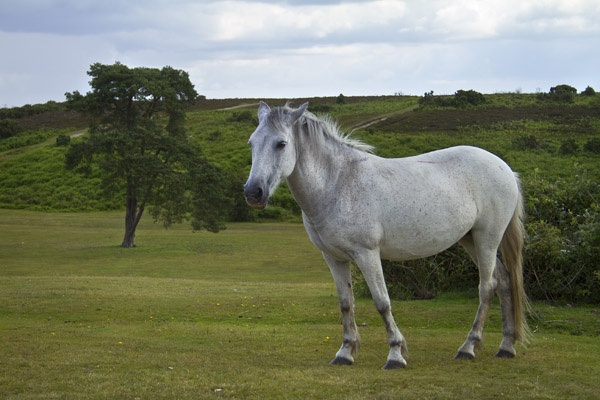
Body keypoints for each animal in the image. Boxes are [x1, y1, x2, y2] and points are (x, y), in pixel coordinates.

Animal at [244, 102, 528, 368]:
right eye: (252, 143)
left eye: (281, 144)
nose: (253, 192)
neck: (338, 182)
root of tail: (504, 168)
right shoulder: (334, 258)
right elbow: (346, 303)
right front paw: (345, 352)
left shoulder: (367, 254)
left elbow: (382, 302)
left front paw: (395, 354)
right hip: (470, 240)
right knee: (503, 281)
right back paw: (506, 346)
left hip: (487, 239)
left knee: (487, 287)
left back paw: (468, 348)